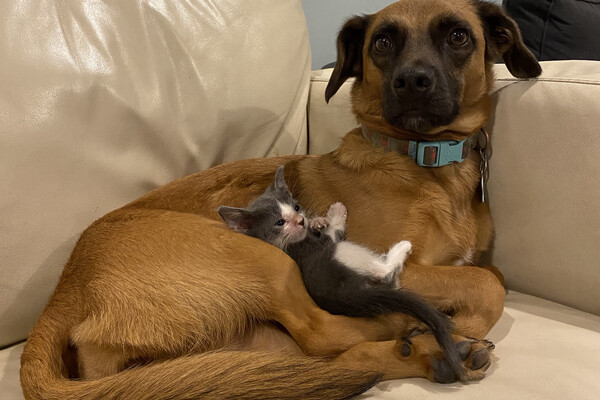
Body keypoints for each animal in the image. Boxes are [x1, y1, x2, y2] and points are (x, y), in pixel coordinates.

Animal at [218, 166, 466, 382]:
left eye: (296, 207)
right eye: (280, 222)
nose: (301, 220)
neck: (287, 242)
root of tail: (351, 295)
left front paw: (318, 220)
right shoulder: (323, 243)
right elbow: (334, 230)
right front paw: (335, 212)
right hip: (343, 253)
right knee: (382, 272)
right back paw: (401, 247)